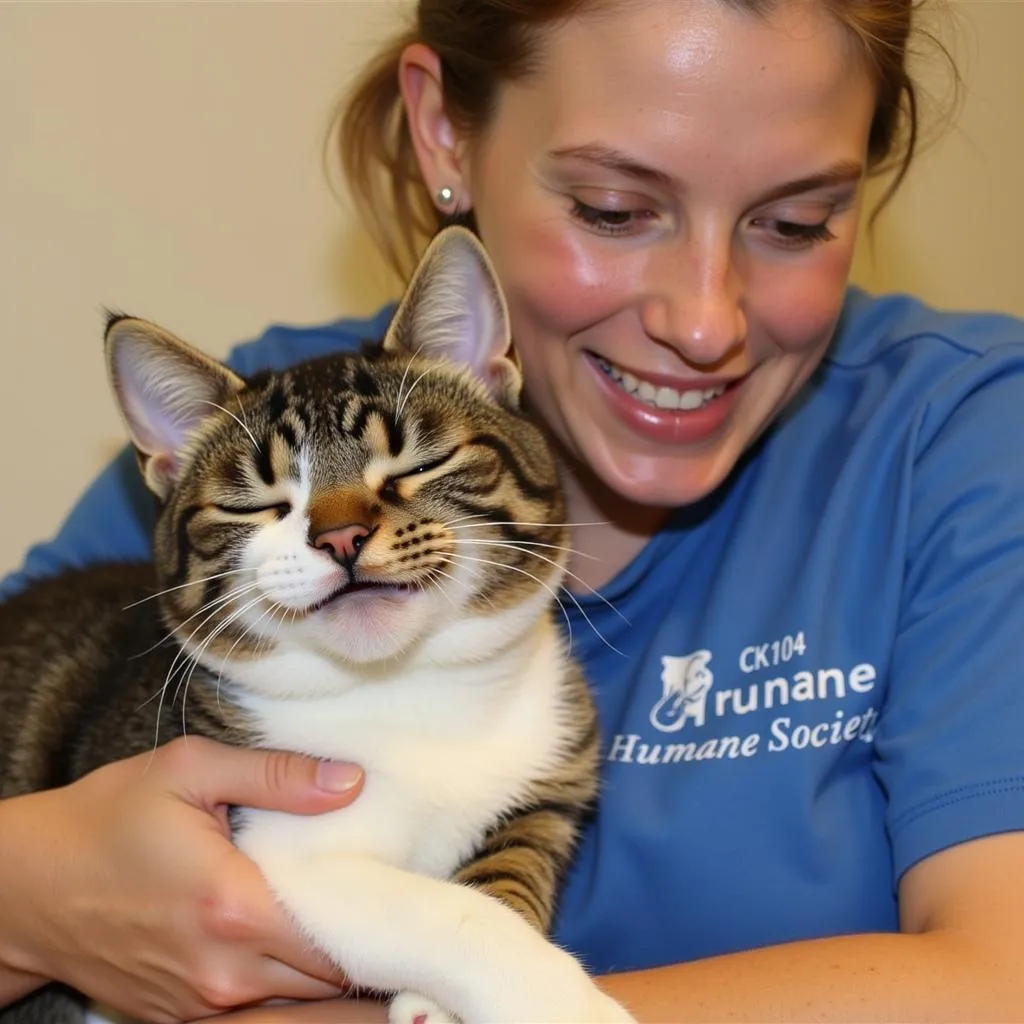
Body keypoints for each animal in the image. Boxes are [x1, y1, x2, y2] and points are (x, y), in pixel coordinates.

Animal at [0, 230, 634, 1024]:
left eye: (419, 463)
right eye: (259, 504)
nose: (340, 537)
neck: (407, 690)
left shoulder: (551, 780)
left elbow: (514, 870)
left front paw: (441, 992)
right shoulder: (288, 851)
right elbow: (449, 914)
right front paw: (562, 999)